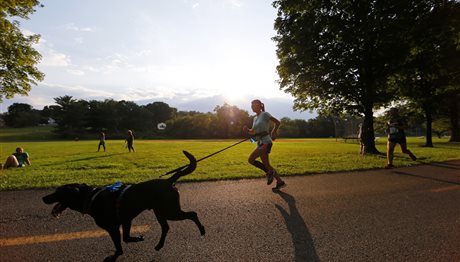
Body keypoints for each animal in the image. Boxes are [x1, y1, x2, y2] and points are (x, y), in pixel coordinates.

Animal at [42, 150, 205, 260]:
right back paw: (159, 245)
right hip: (160, 211)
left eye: (58, 192)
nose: (43, 198)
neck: (91, 197)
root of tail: (169, 181)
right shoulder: (126, 220)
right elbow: (126, 238)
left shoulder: (113, 227)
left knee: (192, 214)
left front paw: (118, 253)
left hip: (170, 211)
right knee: (166, 227)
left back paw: (202, 230)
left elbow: (119, 244)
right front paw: (137, 238)